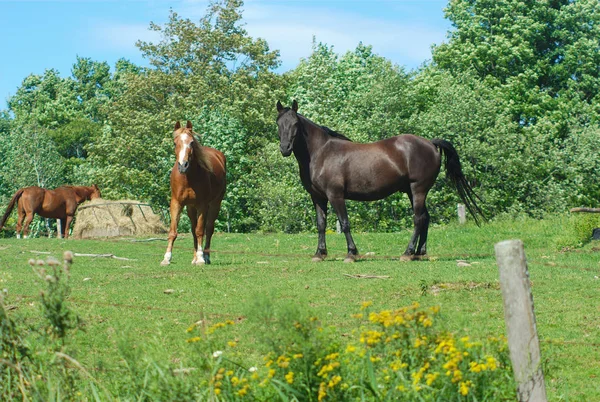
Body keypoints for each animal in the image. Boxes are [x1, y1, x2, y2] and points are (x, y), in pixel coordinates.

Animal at [161, 121, 226, 266]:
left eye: (191, 142)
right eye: (175, 143)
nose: (183, 165)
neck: (188, 178)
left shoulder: (202, 205)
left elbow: (200, 231)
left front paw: (201, 258)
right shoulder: (176, 203)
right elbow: (173, 232)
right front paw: (166, 258)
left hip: (215, 204)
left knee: (209, 228)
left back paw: (205, 256)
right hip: (191, 207)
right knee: (193, 229)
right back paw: (194, 257)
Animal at [276, 102, 482, 262]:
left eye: (295, 123)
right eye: (278, 123)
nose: (285, 148)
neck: (321, 153)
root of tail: (431, 143)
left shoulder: (335, 195)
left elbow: (344, 223)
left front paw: (351, 254)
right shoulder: (318, 197)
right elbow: (321, 224)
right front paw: (320, 254)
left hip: (418, 189)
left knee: (418, 219)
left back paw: (407, 253)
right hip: (411, 191)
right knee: (426, 218)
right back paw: (419, 253)